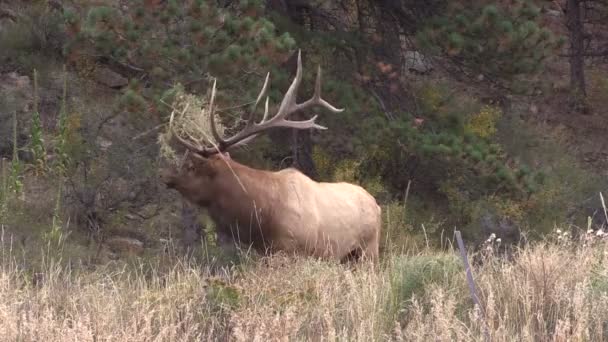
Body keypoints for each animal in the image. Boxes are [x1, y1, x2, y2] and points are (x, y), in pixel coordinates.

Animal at [159, 50, 382, 264]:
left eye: (190, 166)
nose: (166, 176)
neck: (263, 218)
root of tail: (377, 206)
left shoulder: (292, 251)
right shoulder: (266, 252)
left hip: (368, 251)